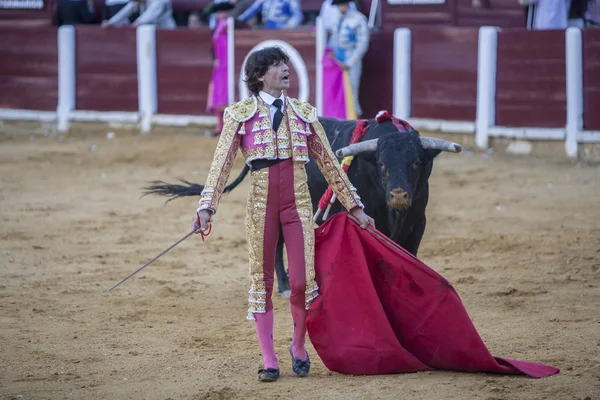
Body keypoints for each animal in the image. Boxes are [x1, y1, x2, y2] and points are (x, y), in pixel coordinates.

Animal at [143, 115, 462, 296]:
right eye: (382, 164)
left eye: (417, 162)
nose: (398, 196)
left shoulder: (417, 221)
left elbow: (410, 254)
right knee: (276, 243)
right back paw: (284, 287)